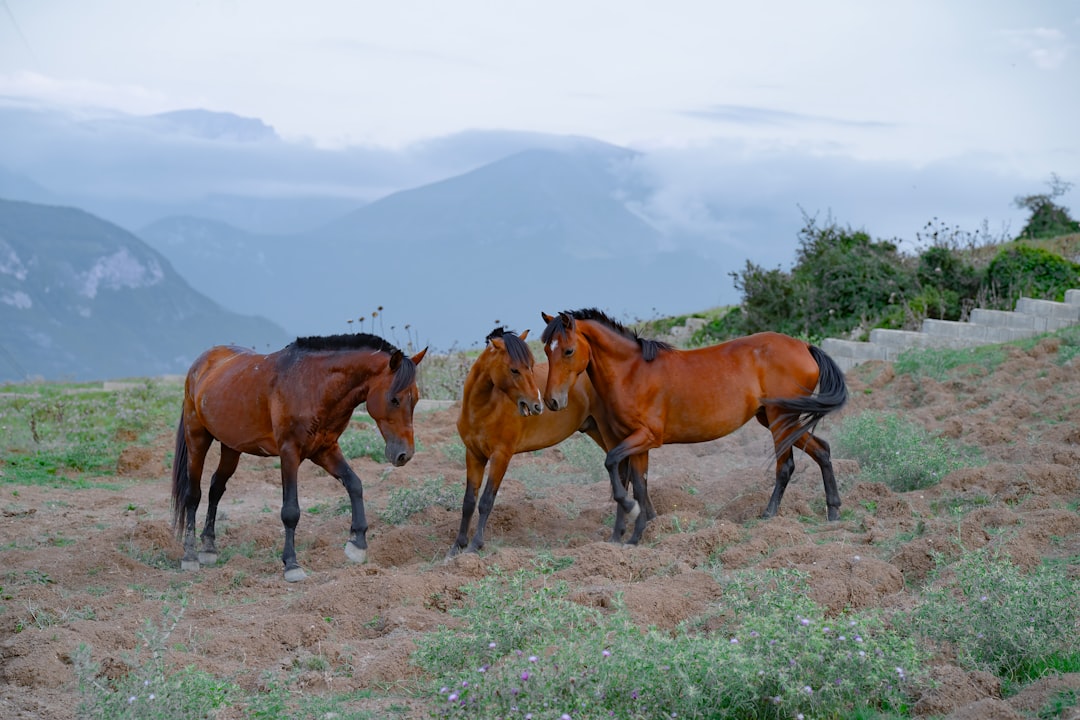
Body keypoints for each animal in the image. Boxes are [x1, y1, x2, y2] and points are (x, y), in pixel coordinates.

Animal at [171, 333, 427, 582]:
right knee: (193, 495)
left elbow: (355, 485)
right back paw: (190, 555)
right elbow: (290, 511)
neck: (314, 385)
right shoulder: (289, 453)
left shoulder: (325, 450)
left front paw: (358, 545)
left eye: (415, 399)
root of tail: (201, 364)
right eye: (394, 399)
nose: (404, 454)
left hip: (231, 447)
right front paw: (292, 565)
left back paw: (208, 547)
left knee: (216, 488)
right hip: (197, 438)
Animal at [450, 327, 651, 556]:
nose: (537, 405)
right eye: (514, 370)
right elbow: (469, 501)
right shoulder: (473, 455)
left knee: (626, 473)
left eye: (530, 366)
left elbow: (486, 500)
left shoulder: (501, 456)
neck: (482, 409)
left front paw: (475, 545)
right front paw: (457, 546)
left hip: (611, 434)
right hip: (598, 432)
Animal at [540, 308, 848, 545]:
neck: (632, 373)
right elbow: (635, 481)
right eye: (545, 349)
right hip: (776, 419)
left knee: (785, 466)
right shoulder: (632, 441)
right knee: (822, 450)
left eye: (568, 350)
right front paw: (624, 536)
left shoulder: (646, 437)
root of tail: (804, 347)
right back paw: (833, 511)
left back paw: (769, 516)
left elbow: (617, 470)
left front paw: (634, 524)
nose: (552, 401)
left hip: (780, 418)